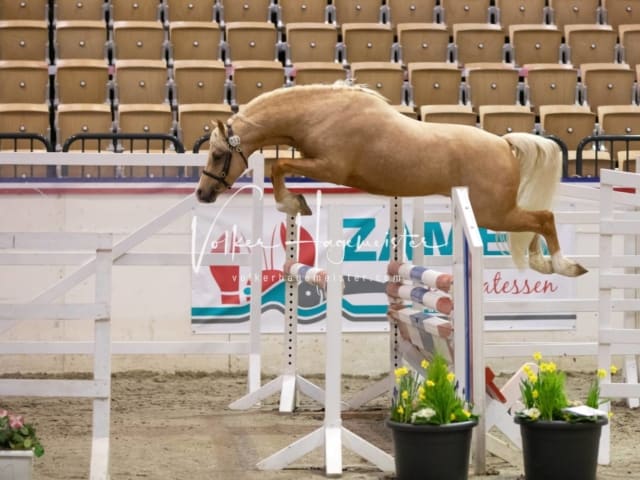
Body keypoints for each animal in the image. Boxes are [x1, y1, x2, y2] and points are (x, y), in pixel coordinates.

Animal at [198, 83, 588, 278]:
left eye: (217, 154)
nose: (202, 194)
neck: (320, 112)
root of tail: (504, 144)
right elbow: (280, 166)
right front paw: (295, 202)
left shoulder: (331, 167)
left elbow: (279, 166)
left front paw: (292, 203)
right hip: (496, 212)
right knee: (536, 221)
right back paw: (544, 264)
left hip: (493, 212)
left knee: (543, 218)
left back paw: (564, 265)